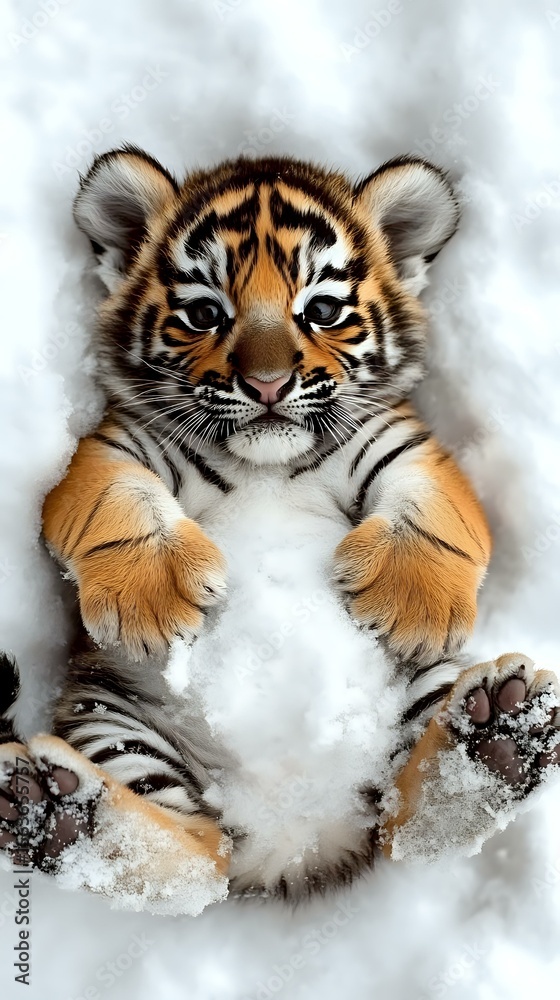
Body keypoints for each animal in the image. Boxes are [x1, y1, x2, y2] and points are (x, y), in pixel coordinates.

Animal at [1, 146, 559, 915]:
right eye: (204, 313)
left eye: (321, 311)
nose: (266, 385)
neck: (265, 460)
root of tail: (293, 838)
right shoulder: (116, 444)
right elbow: (115, 502)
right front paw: (154, 601)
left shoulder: (403, 441)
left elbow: (432, 508)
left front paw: (409, 605)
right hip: (111, 715)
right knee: (195, 860)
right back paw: (52, 812)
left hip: (429, 686)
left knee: (404, 823)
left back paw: (498, 741)